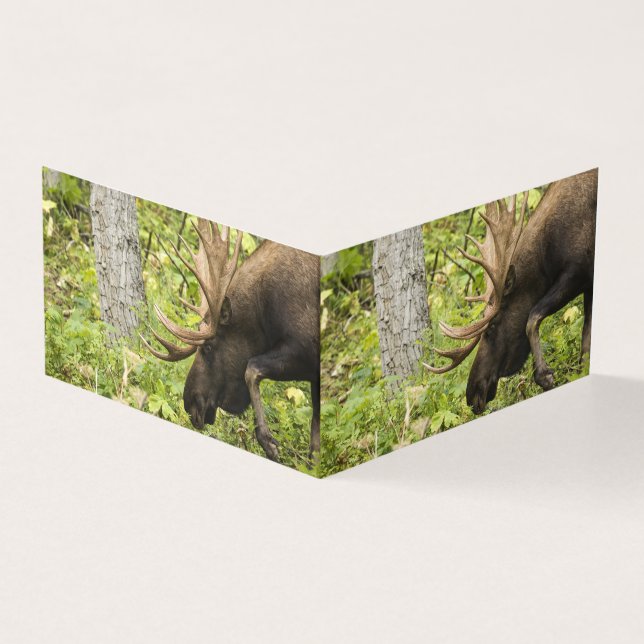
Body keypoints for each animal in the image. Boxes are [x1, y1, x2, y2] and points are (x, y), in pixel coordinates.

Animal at [141, 219, 320, 464]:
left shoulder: (307, 348)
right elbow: (315, 435)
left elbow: (251, 368)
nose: (191, 403)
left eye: (208, 347)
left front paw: (268, 442)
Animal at [425, 168, 598, 414]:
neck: (549, 255)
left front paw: (545, 375)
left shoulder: (579, 270)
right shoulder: (587, 283)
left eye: (491, 328)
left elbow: (533, 316)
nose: (472, 392)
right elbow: (586, 343)